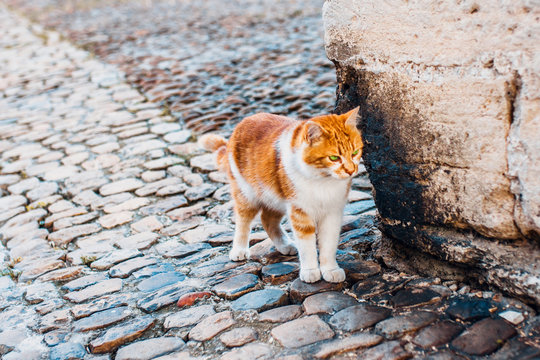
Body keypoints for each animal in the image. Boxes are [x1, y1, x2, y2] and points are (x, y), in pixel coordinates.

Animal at [199, 108, 362, 282]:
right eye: (334, 158)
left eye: (355, 153)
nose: (351, 170)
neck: (323, 181)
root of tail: (246, 120)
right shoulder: (299, 212)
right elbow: (307, 246)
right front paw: (311, 270)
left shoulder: (332, 212)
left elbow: (329, 244)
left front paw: (330, 269)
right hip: (247, 194)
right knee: (243, 220)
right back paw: (239, 249)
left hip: (275, 197)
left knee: (267, 220)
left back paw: (285, 245)